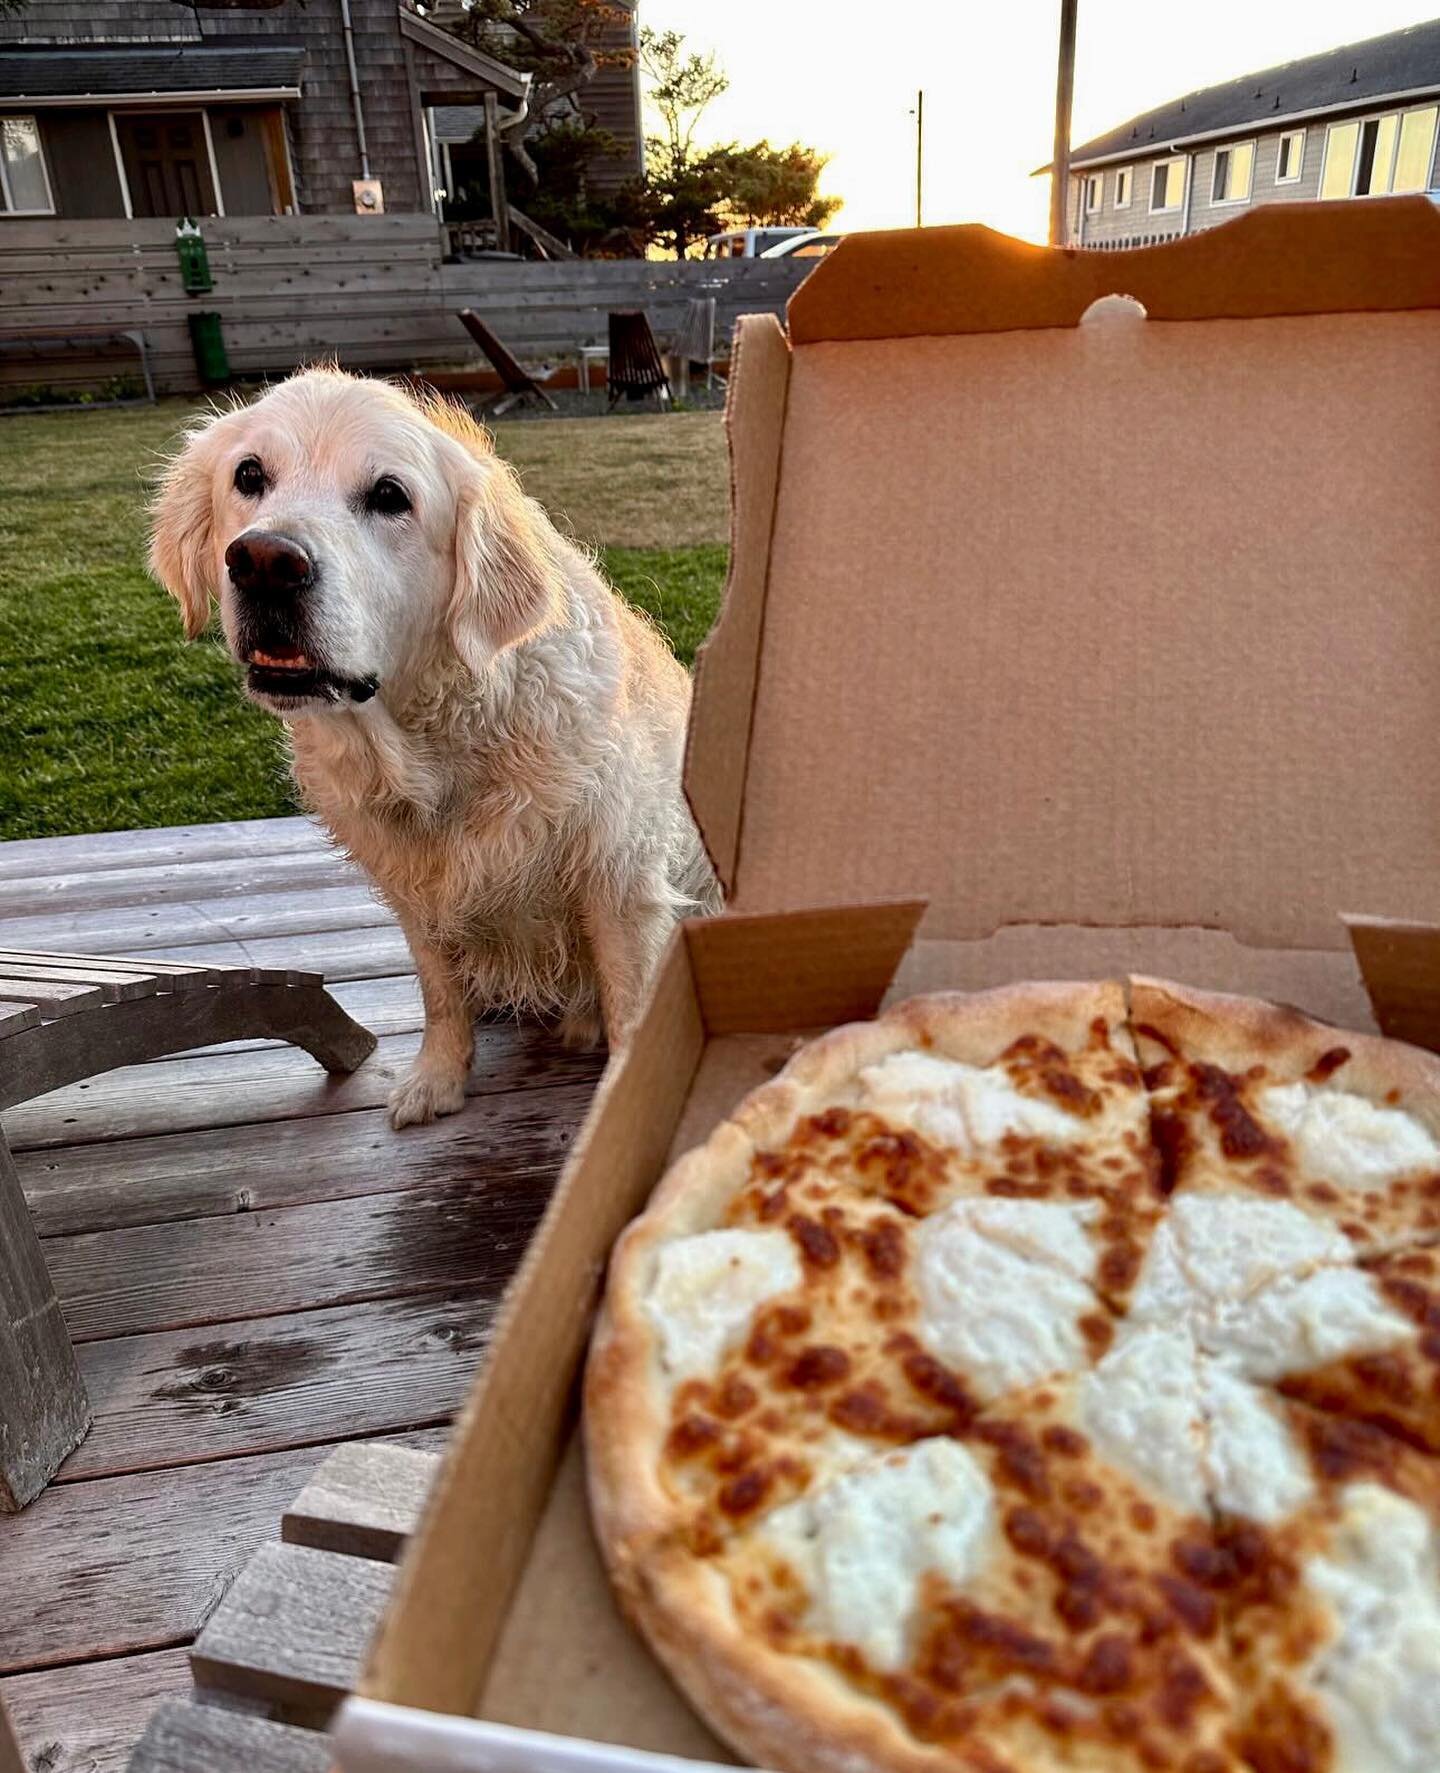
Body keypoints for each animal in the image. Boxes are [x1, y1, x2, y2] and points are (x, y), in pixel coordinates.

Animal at [148, 367, 720, 1127]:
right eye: (250, 475)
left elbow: (632, 1000)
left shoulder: (618, 877)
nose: (265, 562)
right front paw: (439, 1078)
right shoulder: (412, 886)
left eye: (390, 496)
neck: (435, 746)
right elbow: (440, 991)